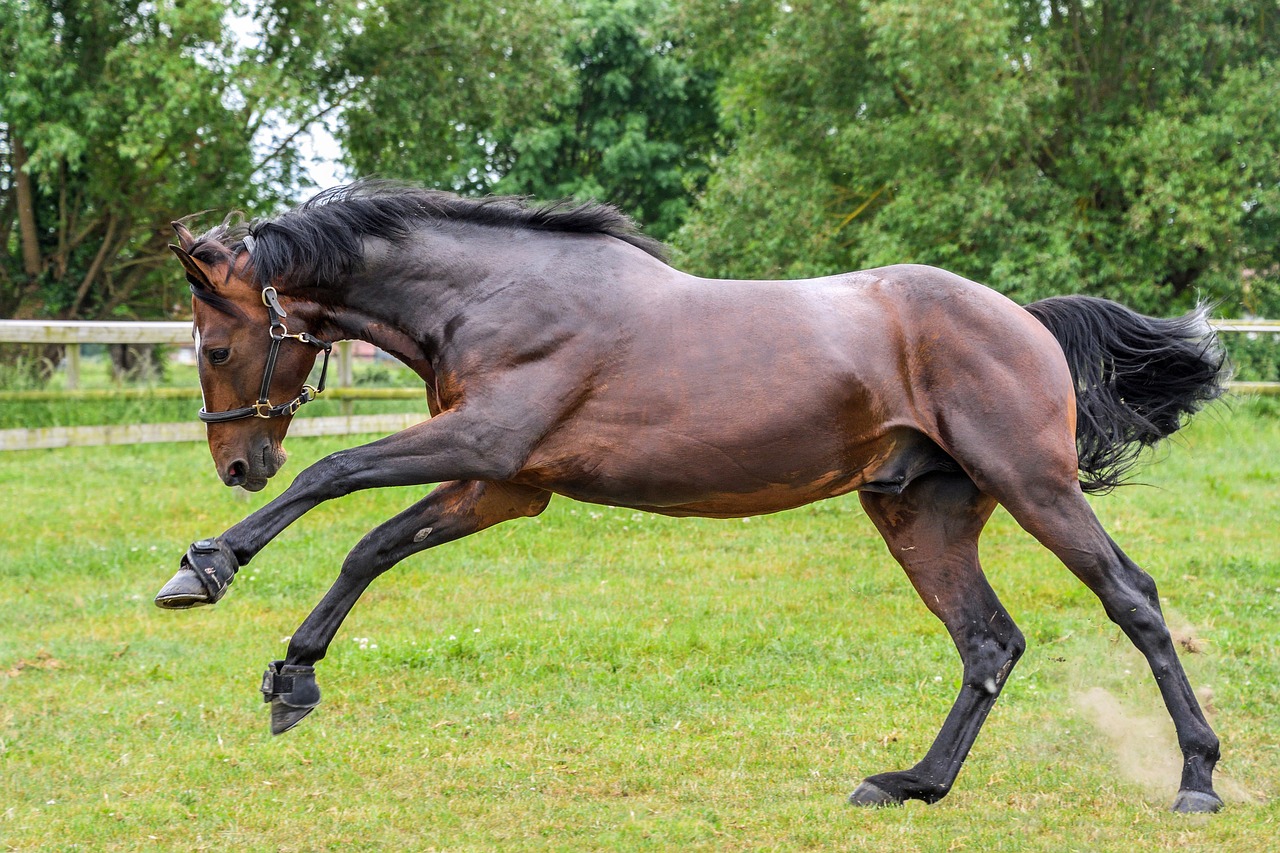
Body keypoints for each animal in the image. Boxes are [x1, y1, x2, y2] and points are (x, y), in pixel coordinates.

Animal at [155, 181, 1227, 813]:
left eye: (216, 345)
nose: (237, 464)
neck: (492, 296)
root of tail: (1025, 321)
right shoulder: (503, 485)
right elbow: (371, 544)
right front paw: (292, 676)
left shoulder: (484, 444)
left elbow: (332, 475)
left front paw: (204, 568)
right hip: (920, 513)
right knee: (988, 642)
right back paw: (914, 784)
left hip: (1034, 484)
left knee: (1131, 599)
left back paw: (1197, 778)